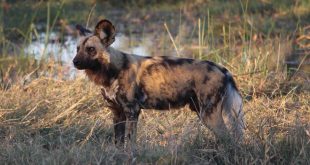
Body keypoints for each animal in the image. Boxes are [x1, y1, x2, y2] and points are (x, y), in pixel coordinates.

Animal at [73, 19, 245, 148]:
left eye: (91, 49)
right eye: (77, 49)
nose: (74, 62)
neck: (112, 71)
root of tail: (223, 69)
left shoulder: (132, 111)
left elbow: (130, 142)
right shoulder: (117, 112)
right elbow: (119, 142)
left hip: (209, 115)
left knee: (228, 139)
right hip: (202, 111)